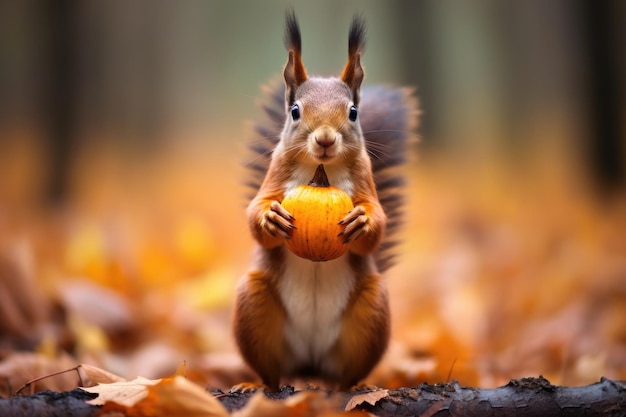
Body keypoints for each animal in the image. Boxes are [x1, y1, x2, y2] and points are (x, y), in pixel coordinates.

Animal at [232, 11, 416, 392]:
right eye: (295, 111)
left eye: (354, 112)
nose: (326, 139)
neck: (322, 173)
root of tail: (311, 365)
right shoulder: (275, 174)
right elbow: (255, 214)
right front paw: (269, 217)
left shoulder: (365, 178)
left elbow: (377, 226)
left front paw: (363, 221)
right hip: (254, 305)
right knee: (270, 372)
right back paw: (258, 386)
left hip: (370, 313)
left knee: (347, 374)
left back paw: (355, 388)